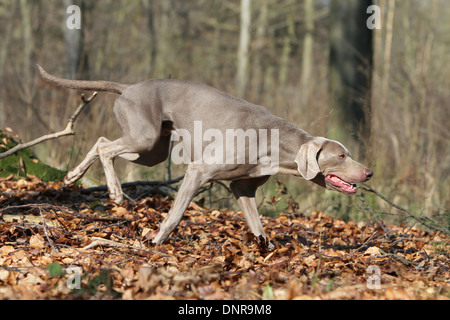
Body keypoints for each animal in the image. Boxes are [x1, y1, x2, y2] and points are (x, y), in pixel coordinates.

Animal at [37, 64, 372, 245]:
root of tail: (129, 87)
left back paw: (73, 176)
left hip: (153, 149)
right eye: (341, 156)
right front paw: (157, 242)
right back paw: (116, 193)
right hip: (145, 138)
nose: (369, 172)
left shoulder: (242, 187)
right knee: (106, 146)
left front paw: (263, 250)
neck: (275, 143)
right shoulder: (198, 171)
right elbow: (174, 215)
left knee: (101, 141)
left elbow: (259, 228)